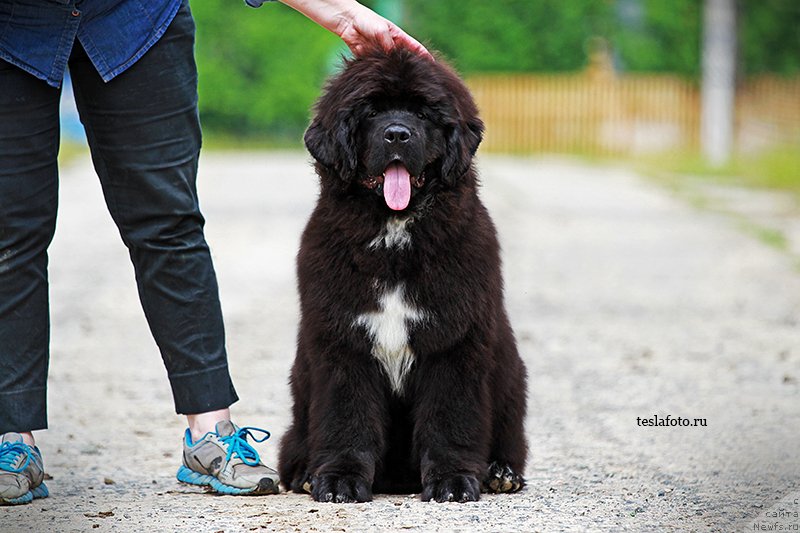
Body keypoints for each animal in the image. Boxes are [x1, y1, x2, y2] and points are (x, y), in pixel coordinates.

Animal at [278, 47, 528, 500]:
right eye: (372, 112)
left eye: (424, 113)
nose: (397, 134)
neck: (395, 238)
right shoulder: (344, 346)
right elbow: (346, 418)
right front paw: (339, 480)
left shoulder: (454, 343)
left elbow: (450, 418)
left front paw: (452, 481)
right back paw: (305, 473)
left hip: (511, 376)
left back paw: (501, 472)